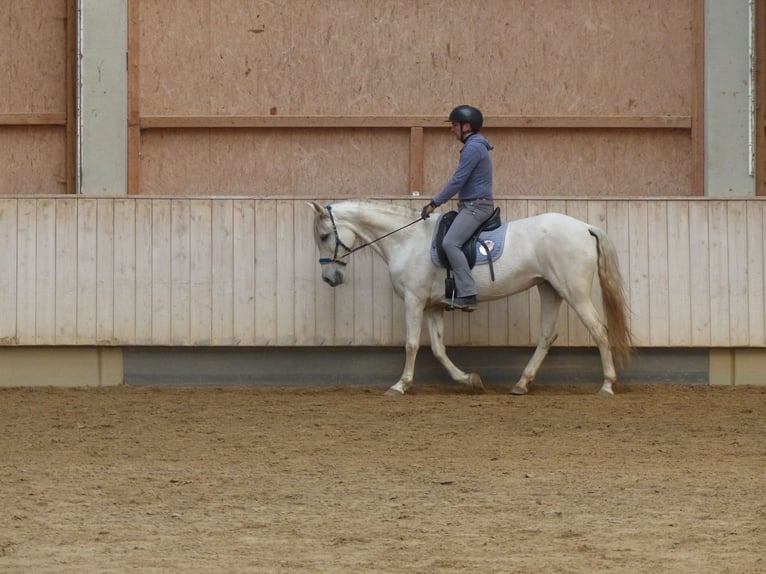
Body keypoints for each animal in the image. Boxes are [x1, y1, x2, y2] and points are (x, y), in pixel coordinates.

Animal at [309, 200, 633, 396]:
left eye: (324, 236)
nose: (329, 278)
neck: (408, 240)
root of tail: (585, 227)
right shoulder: (433, 306)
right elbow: (438, 349)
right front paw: (469, 380)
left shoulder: (414, 300)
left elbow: (412, 344)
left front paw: (400, 385)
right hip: (550, 289)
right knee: (547, 336)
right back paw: (521, 383)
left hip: (573, 291)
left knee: (599, 330)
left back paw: (607, 385)